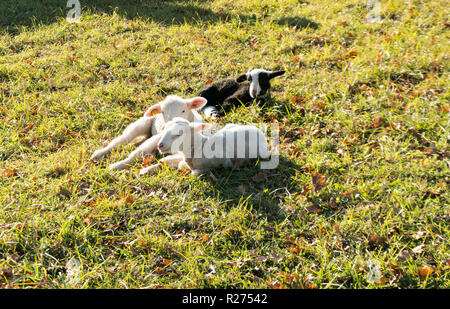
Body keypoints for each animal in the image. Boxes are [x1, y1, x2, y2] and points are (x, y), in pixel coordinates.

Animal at [139, 116, 268, 174]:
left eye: (179, 134)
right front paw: (145, 170)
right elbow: (164, 161)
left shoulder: (222, 162)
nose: (159, 145)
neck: (200, 146)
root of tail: (259, 131)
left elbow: (194, 171)